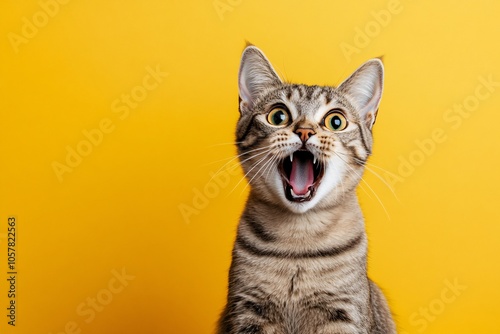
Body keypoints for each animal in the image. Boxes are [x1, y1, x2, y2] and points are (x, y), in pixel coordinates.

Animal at [217, 45, 396, 334]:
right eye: (278, 116)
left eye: (336, 122)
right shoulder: (248, 311)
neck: (299, 238)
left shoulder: (343, 313)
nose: (304, 131)